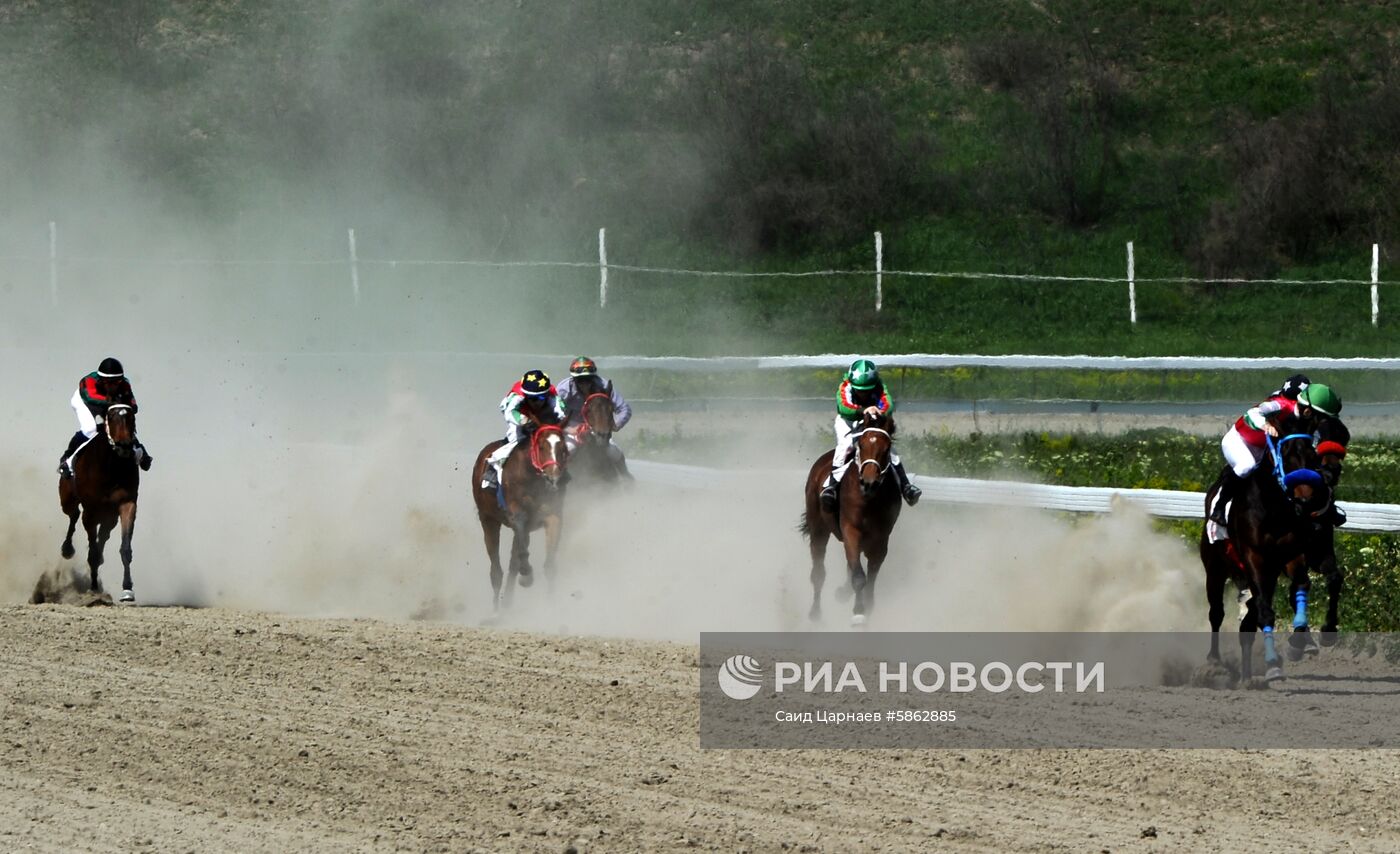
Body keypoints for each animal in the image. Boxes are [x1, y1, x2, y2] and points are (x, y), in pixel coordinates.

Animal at [59, 403, 141, 602]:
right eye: (111, 417)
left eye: (132, 418)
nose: (124, 446)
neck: (110, 467)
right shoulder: (90, 510)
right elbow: (93, 553)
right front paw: (94, 588)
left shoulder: (127, 504)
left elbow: (125, 548)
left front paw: (127, 589)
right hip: (67, 500)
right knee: (74, 515)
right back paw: (67, 549)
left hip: (109, 516)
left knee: (103, 534)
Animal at [470, 417, 568, 604]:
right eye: (541, 446)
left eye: (563, 448)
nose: (553, 478)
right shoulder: (517, 516)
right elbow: (521, 552)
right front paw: (527, 575)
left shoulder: (553, 516)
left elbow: (549, 565)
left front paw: (551, 603)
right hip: (488, 519)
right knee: (496, 571)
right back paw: (497, 607)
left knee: (511, 564)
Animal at [800, 408, 907, 621]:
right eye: (862, 445)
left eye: (887, 448)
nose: (869, 483)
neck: (869, 501)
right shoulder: (851, 529)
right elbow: (859, 576)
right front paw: (859, 612)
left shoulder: (882, 537)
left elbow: (871, 574)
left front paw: (868, 605)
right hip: (818, 528)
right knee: (818, 572)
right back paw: (815, 613)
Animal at [1198, 408, 1327, 680]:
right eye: (1286, 454)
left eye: (1312, 456)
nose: (1305, 500)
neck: (1272, 509)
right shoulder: (1254, 557)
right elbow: (1265, 610)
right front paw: (1272, 664)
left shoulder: (1289, 556)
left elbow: (1301, 585)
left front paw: (1301, 642)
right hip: (1215, 569)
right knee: (1216, 613)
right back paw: (1214, 661)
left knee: (1247, 623)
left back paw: (1247, 676)